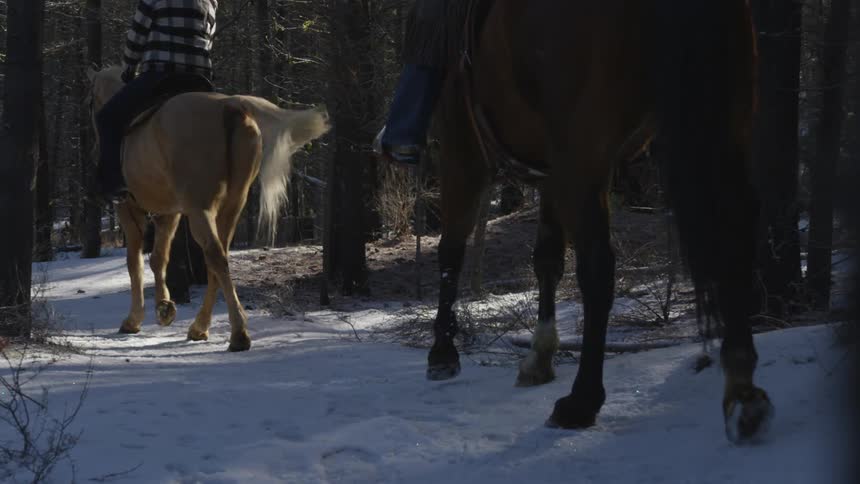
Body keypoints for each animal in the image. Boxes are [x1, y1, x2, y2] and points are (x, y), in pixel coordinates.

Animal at [87, 67, 330, 352]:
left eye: (90, 102)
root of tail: (230, 105)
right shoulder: (170, 213)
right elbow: (159, 258)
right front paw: (164, 308)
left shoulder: (129, 209)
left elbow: (134, 262)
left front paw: (134, 319)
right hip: (231, 207)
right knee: (218, 256)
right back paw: (200, 327)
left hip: (200, 210)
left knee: (215, 256)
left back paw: (237, 334)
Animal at [425, 0, 772, 442]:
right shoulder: (550, 169)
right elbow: (547, 258)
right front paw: (539, 356)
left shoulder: (462, 150)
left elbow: (450, 251)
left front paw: (442, 353)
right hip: (723, 127)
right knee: (733, 231)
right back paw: (742, 389)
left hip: (581, 154)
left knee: (597, 266)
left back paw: (582, 400)